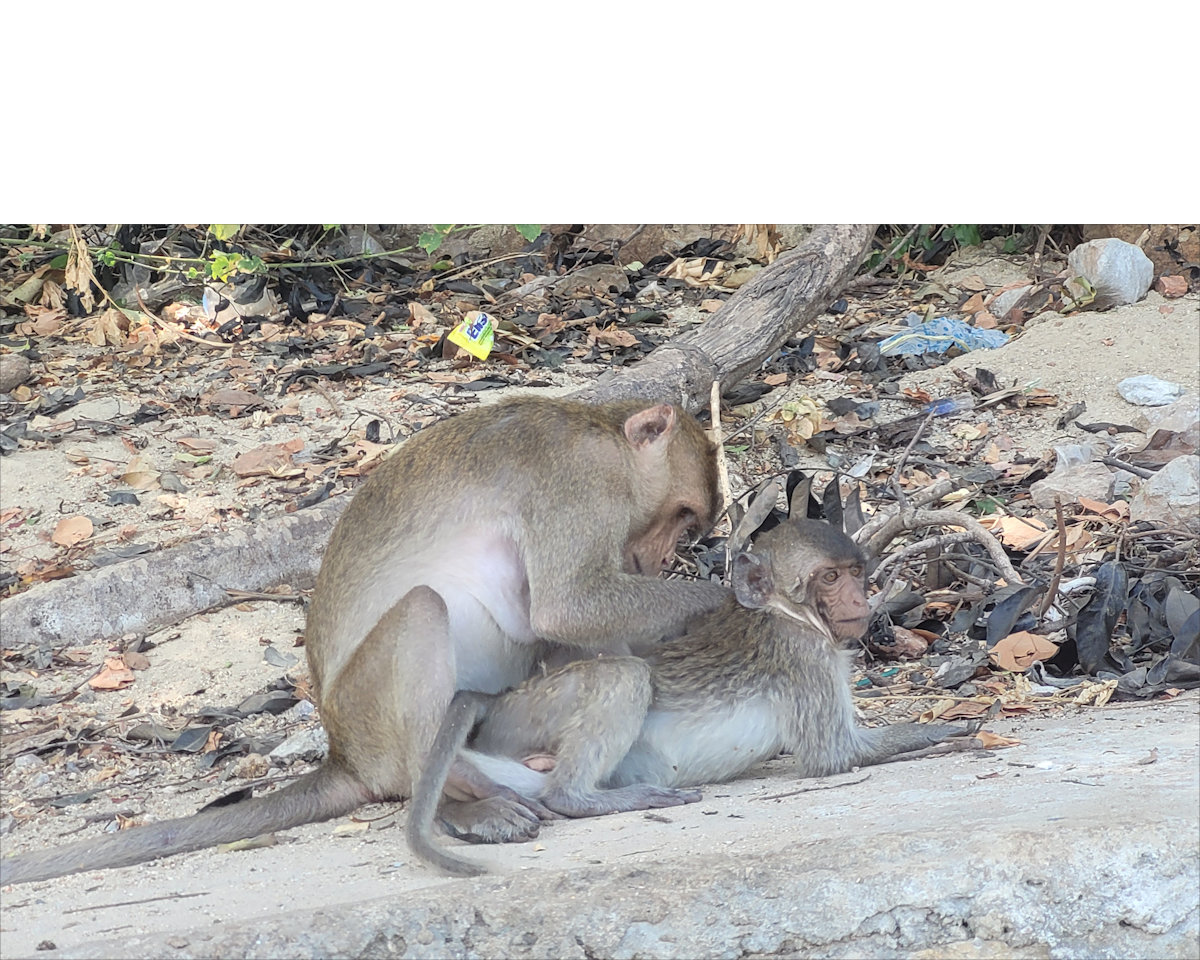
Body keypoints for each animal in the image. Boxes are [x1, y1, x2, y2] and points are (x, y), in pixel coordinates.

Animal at [0, 397, 729, 885]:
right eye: (684, 516)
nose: (665, 557)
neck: (601, 432)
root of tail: (344, 754)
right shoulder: (574, 484)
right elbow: (566, 606)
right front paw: (727, 599)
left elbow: (563, 628)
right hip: (371, 712)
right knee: (424, 611)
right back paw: (457, 799)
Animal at [407, 518, 979, 871]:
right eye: (830, 577)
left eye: (857, 574)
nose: (859, 600)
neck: (787, 614)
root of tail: (499, 699)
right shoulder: (804, 657)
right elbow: (833, 755)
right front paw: (940, 733)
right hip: (529, 710)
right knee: (623, 679)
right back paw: (579, 797)